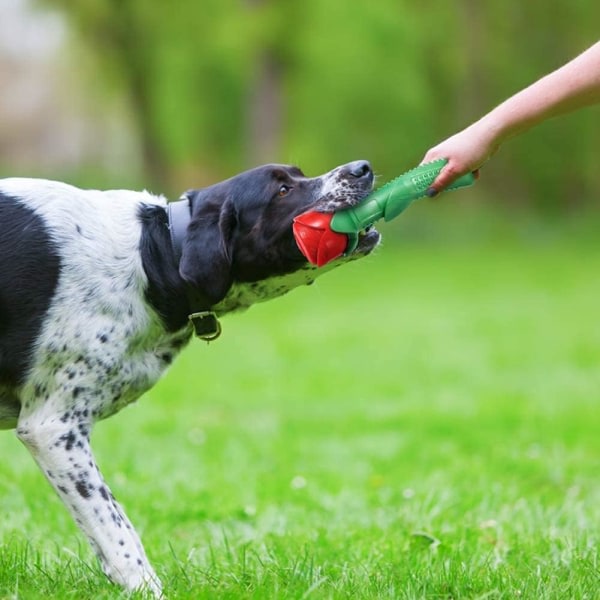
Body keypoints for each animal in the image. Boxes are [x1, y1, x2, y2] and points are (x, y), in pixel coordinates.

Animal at [0, 161, 380, 596]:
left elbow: (101, 534)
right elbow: (116, 528)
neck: (155, 253)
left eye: (297, 174)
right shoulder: (53, 427)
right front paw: (146, 587)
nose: (361, 168)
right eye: (282, 190)